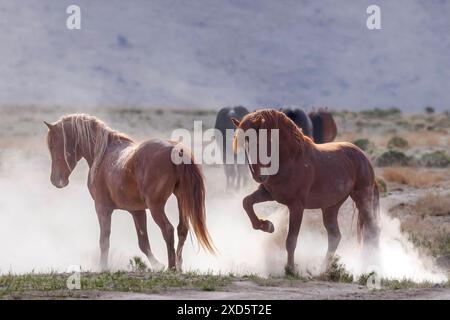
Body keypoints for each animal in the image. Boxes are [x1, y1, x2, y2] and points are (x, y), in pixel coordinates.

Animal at [232, 110, 380, 276]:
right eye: (245, 146)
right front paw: (267, 225)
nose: (259, 177)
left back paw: (371, 267)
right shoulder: (268, 193)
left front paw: (290, 269)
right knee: (335, 236)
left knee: (372, 231)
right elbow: (246, 202)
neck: (291, 159)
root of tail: (363, 157)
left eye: (261, 142)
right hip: (330, 207)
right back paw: (323, 270)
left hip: (362, 199)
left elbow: (291, 240)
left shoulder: (296, 206)